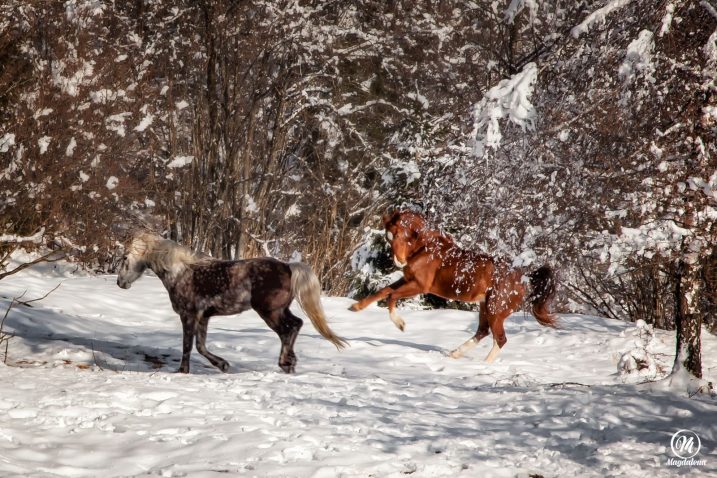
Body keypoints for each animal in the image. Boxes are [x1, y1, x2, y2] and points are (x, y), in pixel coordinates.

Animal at [350, 211, 556, 364]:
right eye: (388, 238)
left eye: (401, 234)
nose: (398, 261)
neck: (425, 249)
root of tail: (524, 277)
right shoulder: (408, 280)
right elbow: (384, 291)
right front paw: (355, 307)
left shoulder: (420, 286)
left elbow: (391, 297)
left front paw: (400, 325)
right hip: (485, 307)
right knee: (483, 332)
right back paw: (454, 354)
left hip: (495, 310)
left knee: (500, 338)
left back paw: (482, 365)